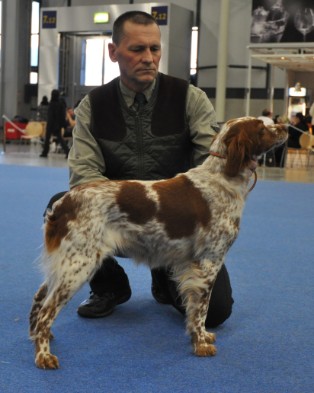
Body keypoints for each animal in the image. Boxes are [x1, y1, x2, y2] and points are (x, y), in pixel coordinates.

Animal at [29, 116, 288, 368]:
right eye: (261, 127)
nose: (285, 127)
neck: (222, 178)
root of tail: (63, 205)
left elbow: (194, 309)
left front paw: (202, 337)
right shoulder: (208, 262)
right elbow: (201, 310)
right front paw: (200, 344)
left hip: (66, 264)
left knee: (40, 298)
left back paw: (38, 337)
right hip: (79, 264)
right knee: (46, 311)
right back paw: (43, 356)